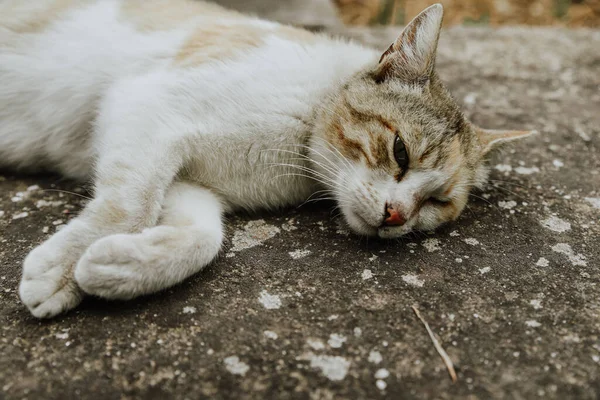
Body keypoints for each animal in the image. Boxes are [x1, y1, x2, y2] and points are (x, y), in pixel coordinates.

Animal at [0, 0, 536, 318]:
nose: (396, 216)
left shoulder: (187, 177)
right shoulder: (147, 107)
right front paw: (61, 270)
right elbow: (129, 207)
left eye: (437, 203)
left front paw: (114, 268)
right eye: (400, 151)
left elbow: (203, 237)